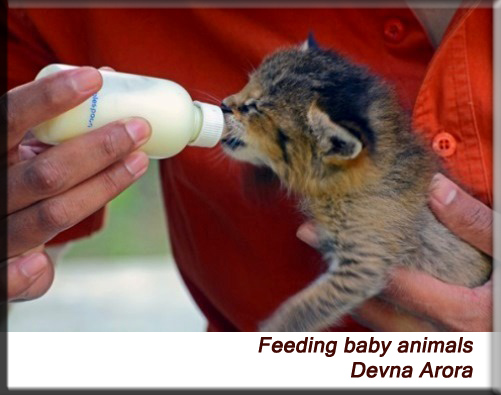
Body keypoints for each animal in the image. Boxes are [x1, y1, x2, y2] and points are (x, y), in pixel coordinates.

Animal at [221, 36, 490, 332]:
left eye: (253, 107)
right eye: (248, 84)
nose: (223, 104)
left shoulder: (364, 261)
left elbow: (307, 306)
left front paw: (272, 330)